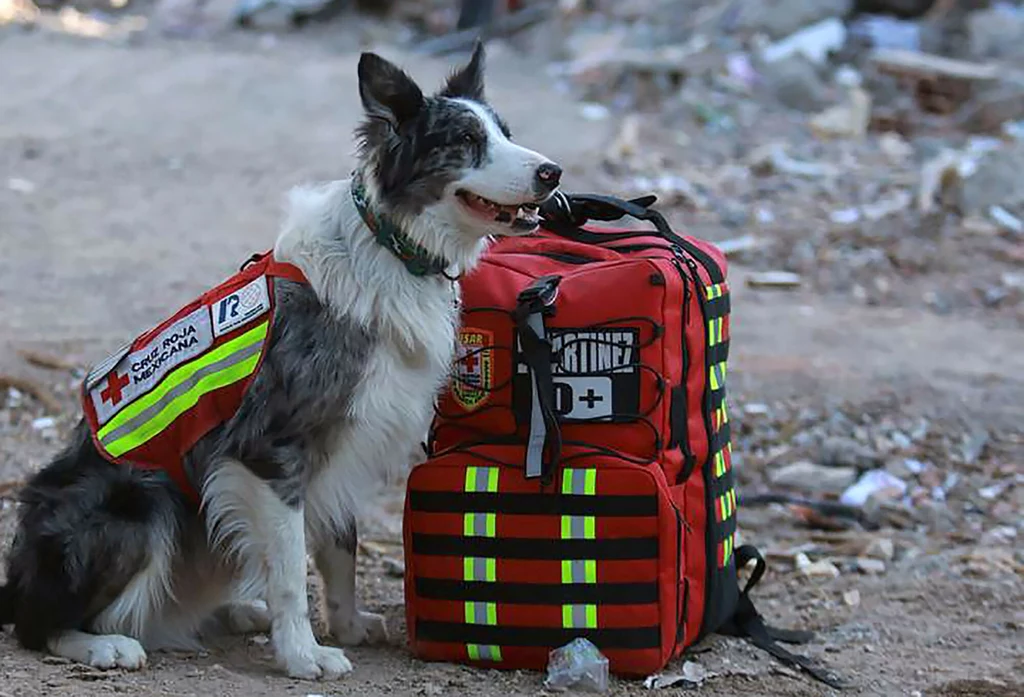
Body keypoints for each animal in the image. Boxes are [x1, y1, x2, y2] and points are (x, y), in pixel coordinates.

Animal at [0, 44, 561, 679]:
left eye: (505, 132)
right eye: (465, 139)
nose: (553, 173)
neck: (392, 246)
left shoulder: (346, 441)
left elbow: (341, 546)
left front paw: (346, 625)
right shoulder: (271, 449)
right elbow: (291, 570)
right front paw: (302, 653)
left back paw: (236, 612)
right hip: (139, 501)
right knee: (36, 623)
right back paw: (100, 644)